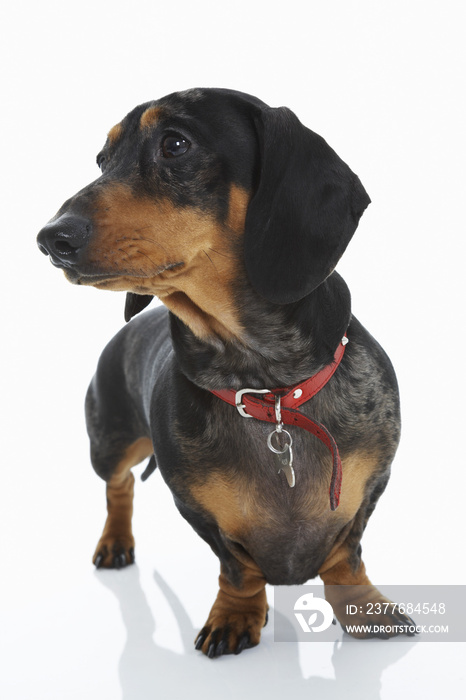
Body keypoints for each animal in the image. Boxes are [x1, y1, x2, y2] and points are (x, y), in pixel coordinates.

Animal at [37, 89, 416, 656]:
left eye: (175, 144)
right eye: (102, 160)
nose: (50, 239)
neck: (270, 389)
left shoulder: (371, 486)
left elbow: (347, 554)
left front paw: (362, 606)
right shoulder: (196, 508)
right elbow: (237, 568)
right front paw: (235, 615)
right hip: (108, 442)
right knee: (118, 485)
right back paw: (115, 541)